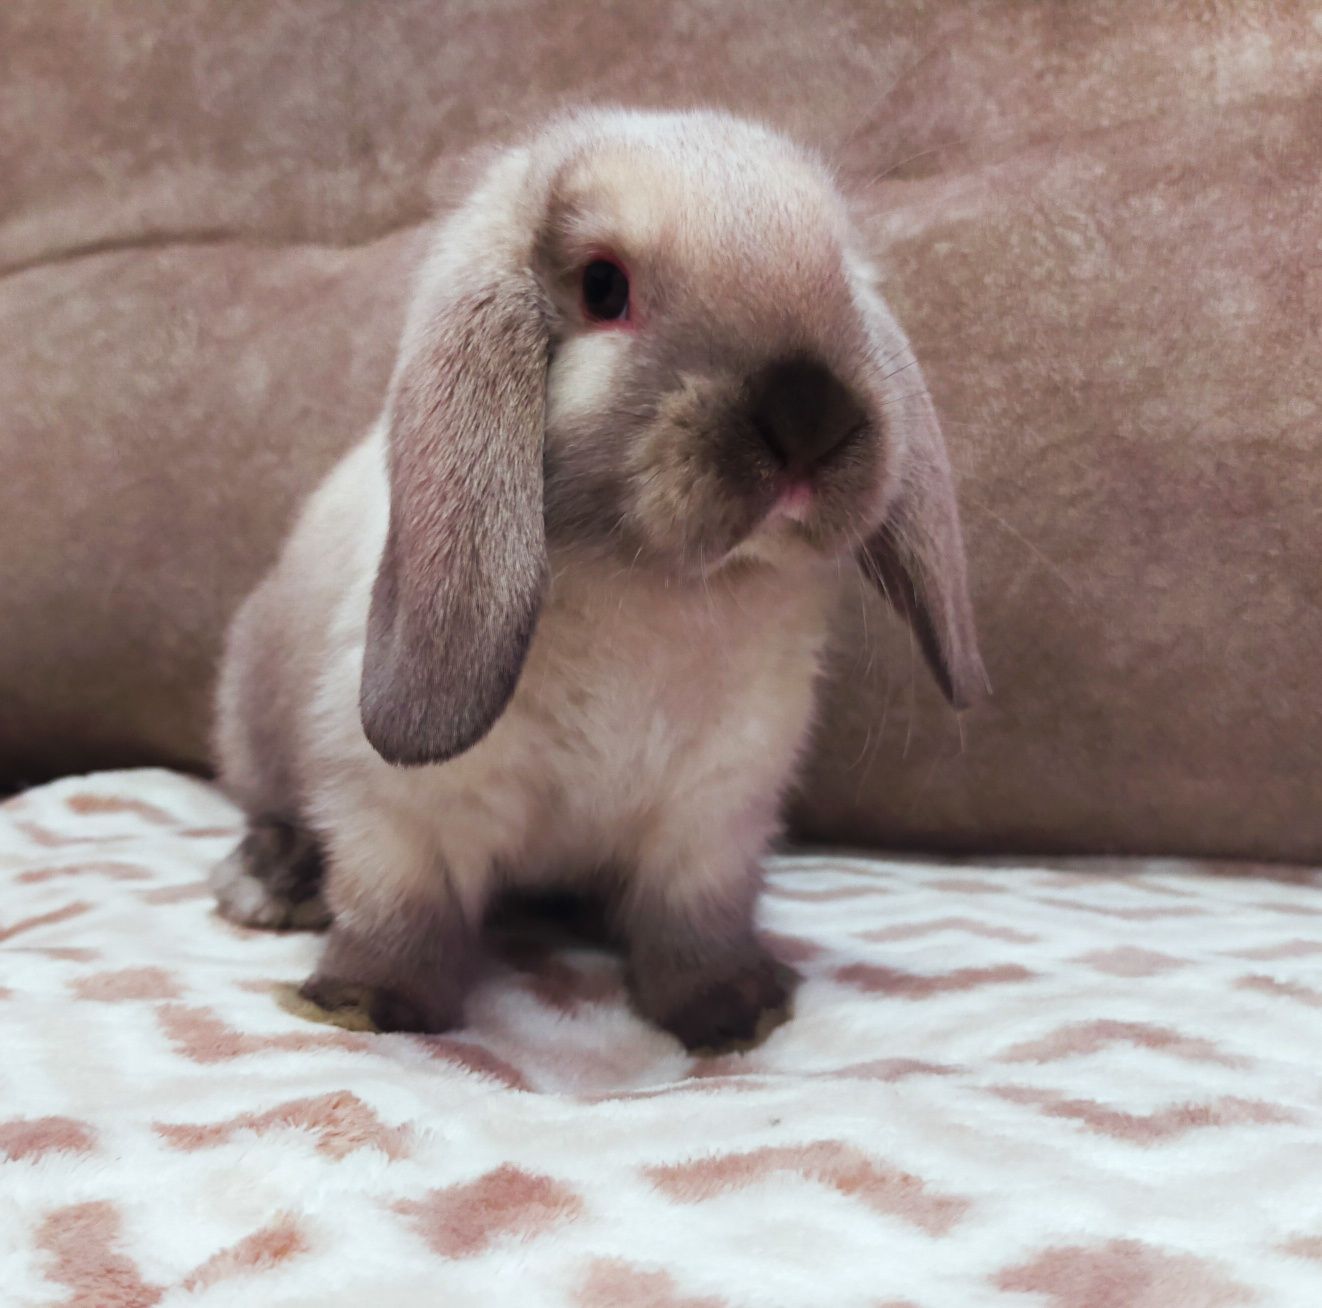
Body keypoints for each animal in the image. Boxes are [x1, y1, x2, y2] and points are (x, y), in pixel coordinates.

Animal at [211, 109, 988, 1052]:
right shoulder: (403, 815)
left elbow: (693, 924)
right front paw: (363, 1003)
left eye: (840, 277)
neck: (653, 590)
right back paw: (271, 881)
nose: (810, 417)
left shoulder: (712, 821)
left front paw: (735, 1009)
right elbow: (401, 913)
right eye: (604, 287)